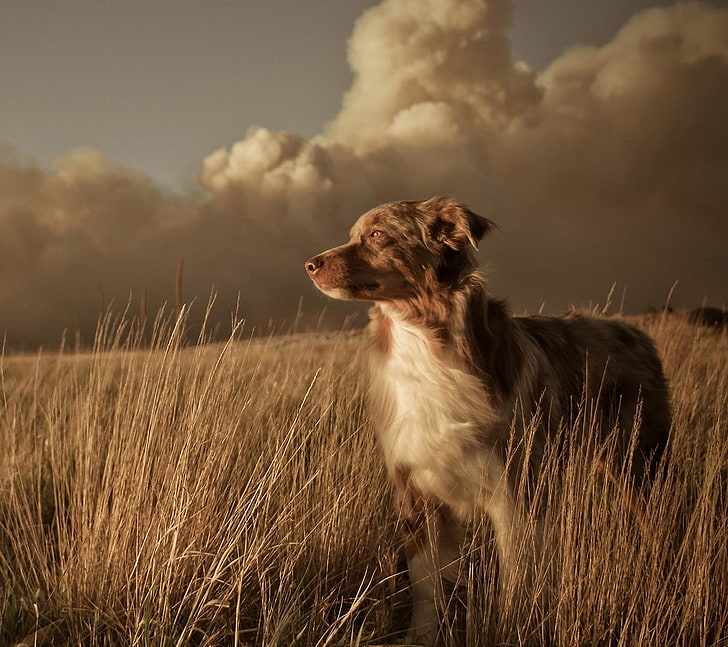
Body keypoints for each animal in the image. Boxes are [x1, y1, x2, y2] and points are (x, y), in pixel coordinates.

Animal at [302, 197, 672, 647]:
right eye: (354, 234)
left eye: (376, 235)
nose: (310, 265)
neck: (424, 340)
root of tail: (636, 332)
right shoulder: (415, 492)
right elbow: (427, 585)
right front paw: (421, 636)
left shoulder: (514, 492)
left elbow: (517, 579)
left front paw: (510, 628)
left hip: (639, 467)